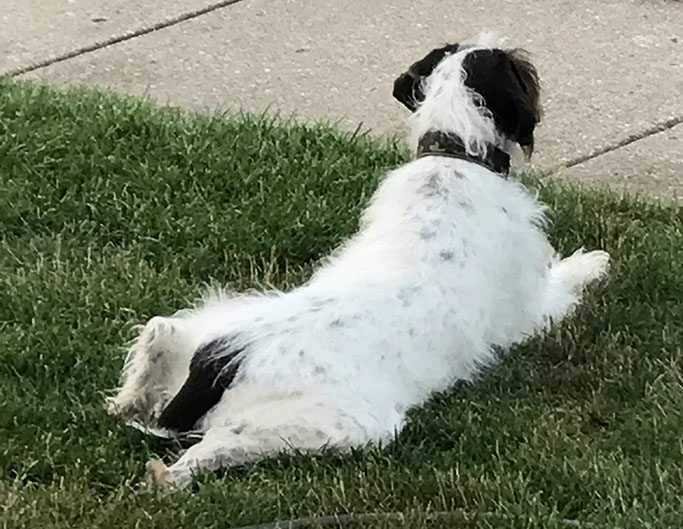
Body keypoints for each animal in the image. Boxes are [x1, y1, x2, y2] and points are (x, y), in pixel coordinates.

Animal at [109, 33, 612, 486]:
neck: (454, 155)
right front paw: (593, 262)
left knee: (159, 330)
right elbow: (566, 279)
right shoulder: (531, 310)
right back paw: (168, 476)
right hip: (332, 422)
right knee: (208, 450)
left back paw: (124, 401)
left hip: (212, 318)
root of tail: (221, 362)